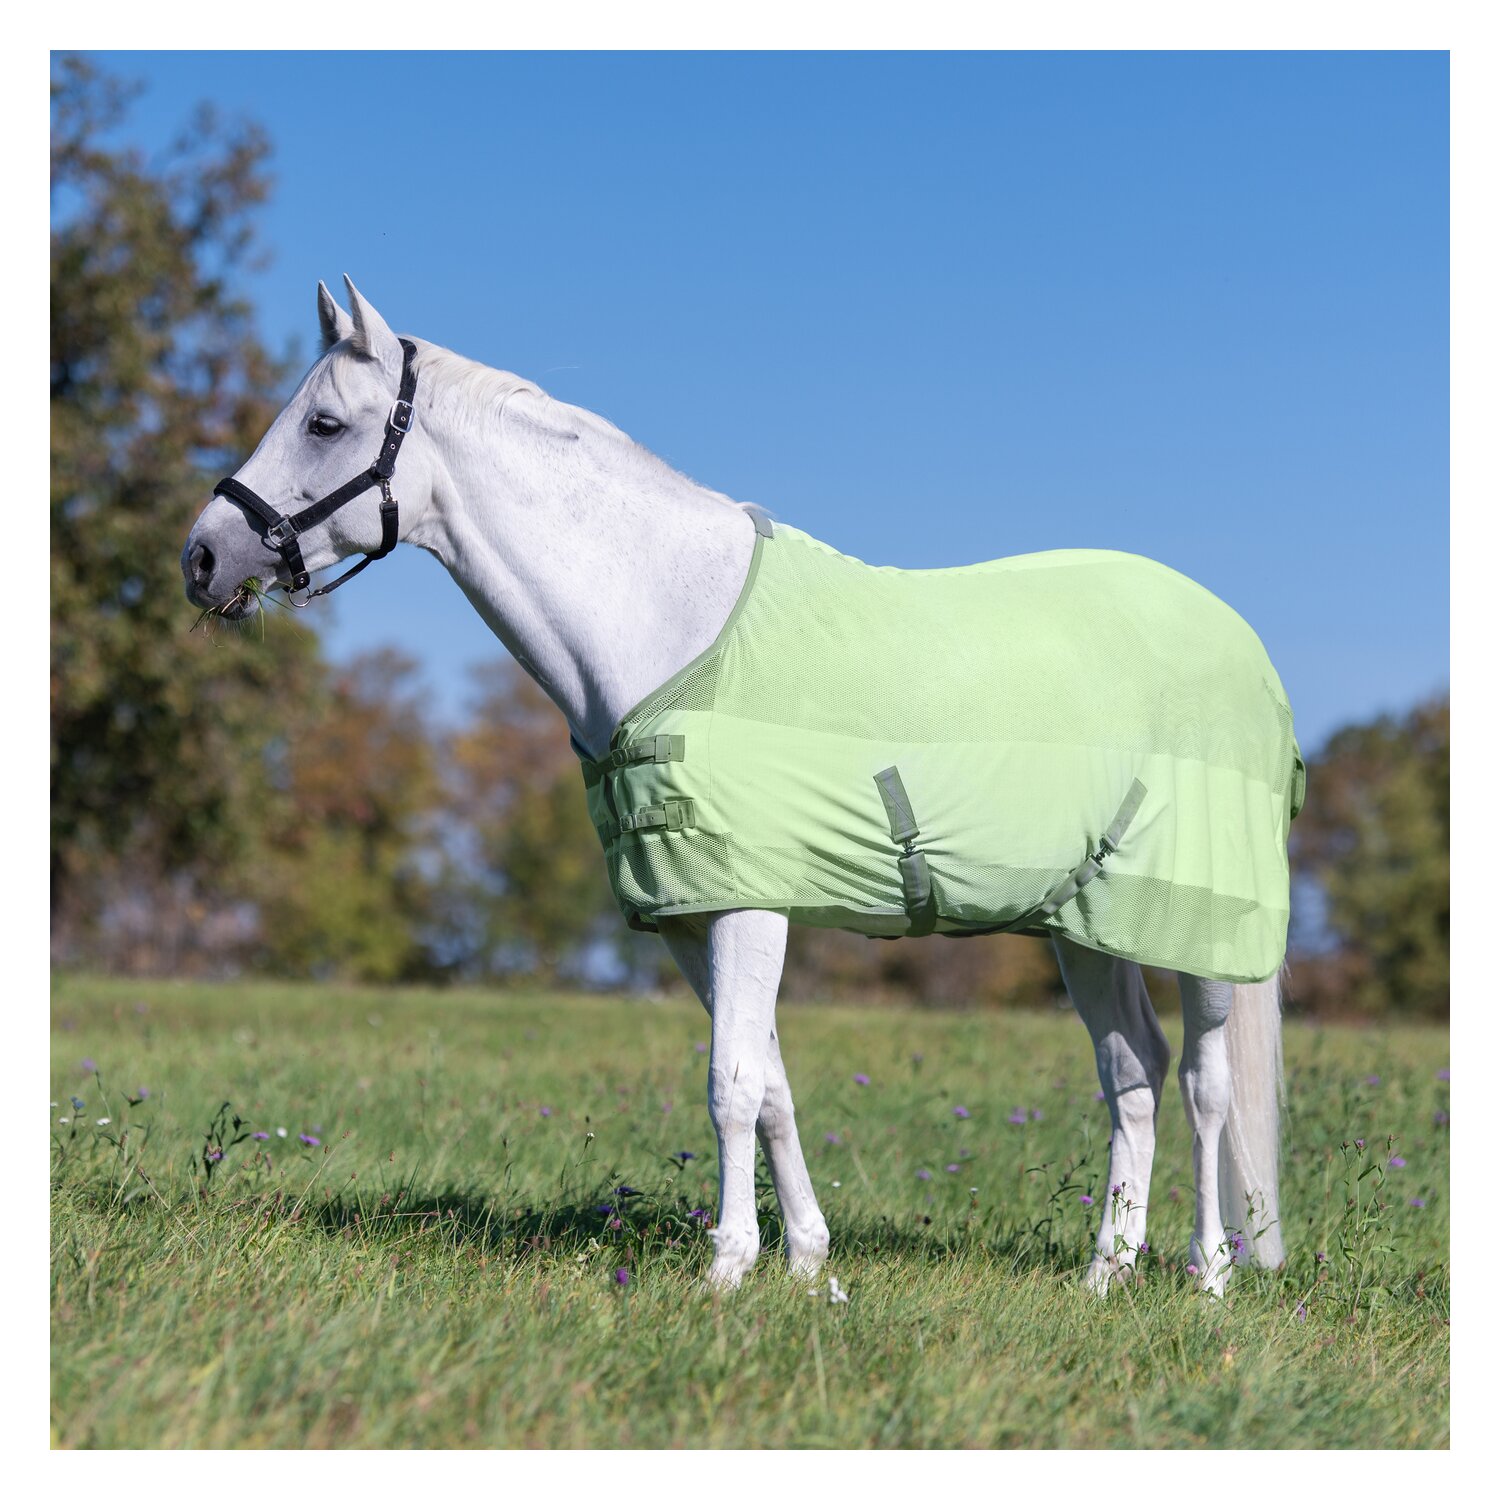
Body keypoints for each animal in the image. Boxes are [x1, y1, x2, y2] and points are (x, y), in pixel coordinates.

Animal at [183, 277, 1293, 1296]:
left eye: (325, 424)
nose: (202, 558)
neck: (666, 623)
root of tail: (1240, 644)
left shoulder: (749, 906)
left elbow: (729, 1084)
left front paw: (727, 1270)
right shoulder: (691, 913)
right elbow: (770, 1087)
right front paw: (807, 1264)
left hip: (1198, 930)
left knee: (1206, 1084)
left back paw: (1209, 1275)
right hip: (1086, 924)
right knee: (1134, 1074)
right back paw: (1106, 1273)